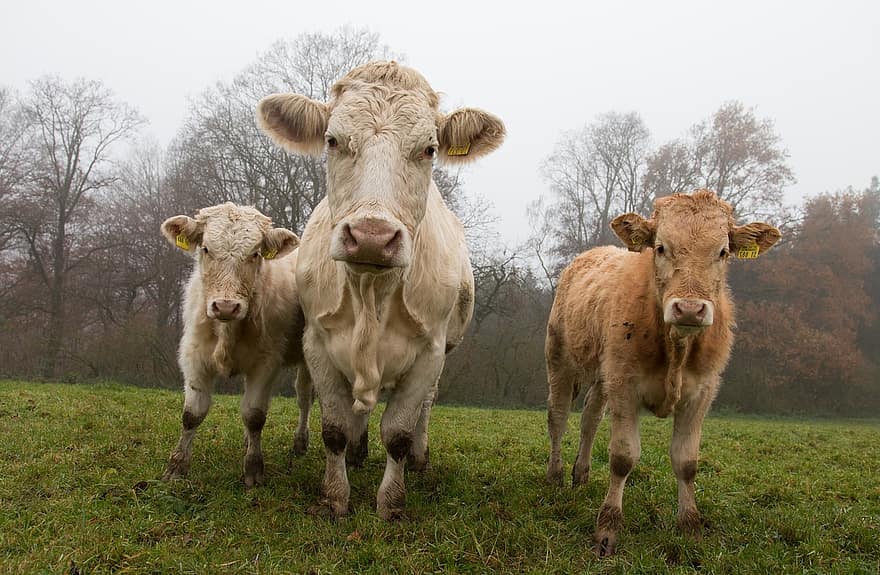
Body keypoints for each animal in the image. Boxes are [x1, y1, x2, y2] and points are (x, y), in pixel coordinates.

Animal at [258, 60, 506, 520]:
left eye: (428, 149)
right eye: (332, 140)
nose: (372, 237)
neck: (371, 293)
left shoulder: (430, 351)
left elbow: (399, 433)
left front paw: (390, 504)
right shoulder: (317, 342)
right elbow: (335, 427)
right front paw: (335, 497)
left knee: (425, 407)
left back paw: (420, 461)